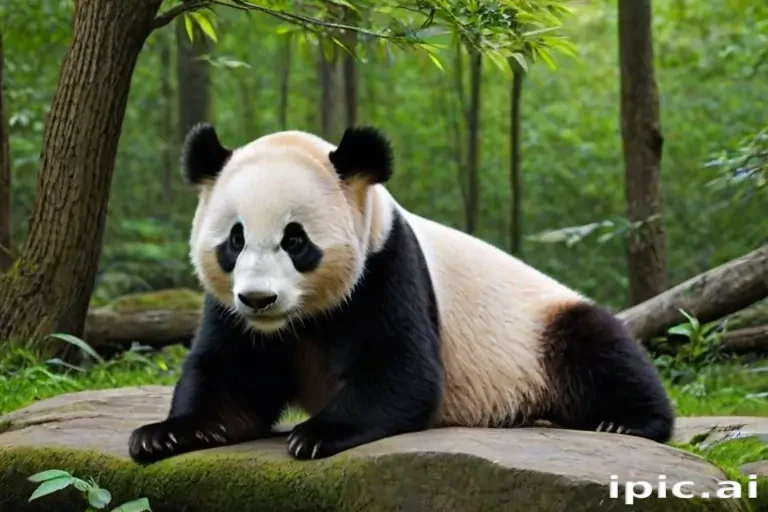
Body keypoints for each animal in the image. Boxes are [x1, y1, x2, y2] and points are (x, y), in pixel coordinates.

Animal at [128, 123, 674, 464]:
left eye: (295, 240)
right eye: (235, 240)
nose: (259, 300)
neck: (300, 318)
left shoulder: (387, 266)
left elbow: (401, 368)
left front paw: (316, 434)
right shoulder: (232, 311)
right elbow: (231, 377)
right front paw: (162, 435)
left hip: (542, 326)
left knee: (599, 346)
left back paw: (626, 423)